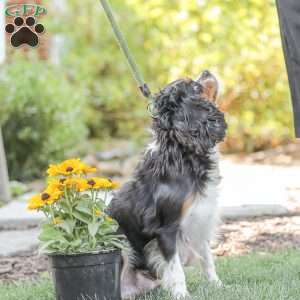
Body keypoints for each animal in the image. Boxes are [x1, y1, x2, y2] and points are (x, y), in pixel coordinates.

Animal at [110, 70, 227, 298]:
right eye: (196, 88)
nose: (206, 71)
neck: (183, 154)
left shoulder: (201, 219)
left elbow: (207, 259)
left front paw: (217, 285)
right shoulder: (166, 229)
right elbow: (175, 267)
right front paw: (182, 294)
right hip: (122, 243)